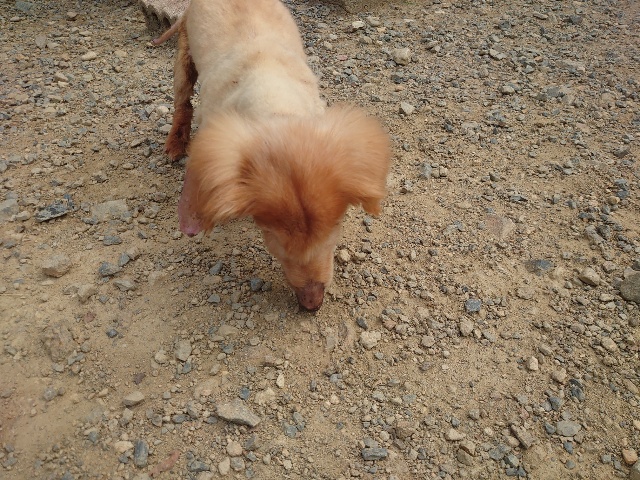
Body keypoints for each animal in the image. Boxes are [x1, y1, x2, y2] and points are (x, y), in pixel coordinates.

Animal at [163, 0, 391, 311]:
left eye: (335, 232)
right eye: (274, 242)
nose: (312, 305)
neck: (276, 105)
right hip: (184, 58)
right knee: (182, 101)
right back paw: (175, 143)